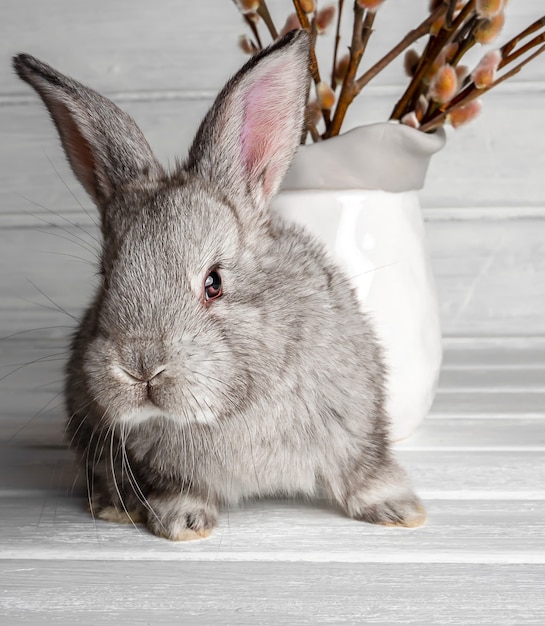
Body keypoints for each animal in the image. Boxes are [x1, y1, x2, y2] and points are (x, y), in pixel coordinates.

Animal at [10, 29, 422, 540]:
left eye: (214, 283)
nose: (142, 368)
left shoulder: (356, 425)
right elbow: (177, 489)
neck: (231, 409)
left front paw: (400, 511)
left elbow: (364, 469)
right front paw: (183, 524)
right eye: (105, 277)